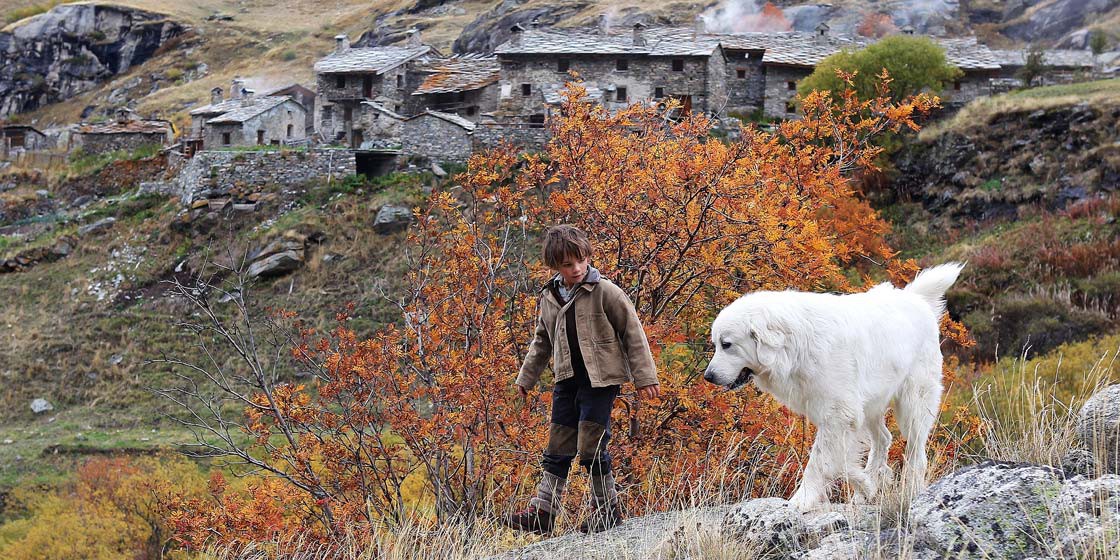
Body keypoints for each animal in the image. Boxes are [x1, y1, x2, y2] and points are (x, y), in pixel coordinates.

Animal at [703, 263, 964, 512]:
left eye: (727, 344)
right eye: (716, 343)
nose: (708, 376)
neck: (797, 346)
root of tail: (915, 298)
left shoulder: (839, 414)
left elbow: (820, 462)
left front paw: (802, 500)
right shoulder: (839, 416)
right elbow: (840, 463)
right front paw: (866, 485)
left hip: (913, 405)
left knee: (916, 453)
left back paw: (911, 491)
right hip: (871, 405)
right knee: (883, 439)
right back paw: (866, 489)